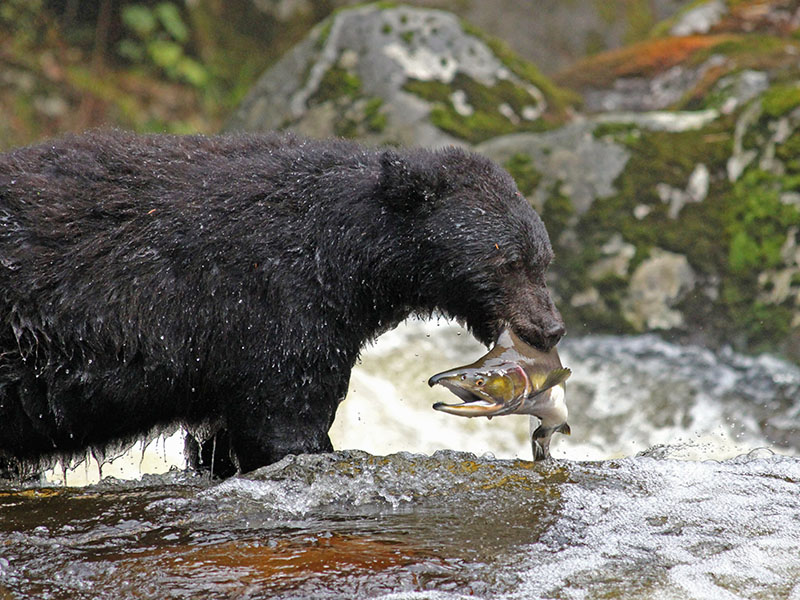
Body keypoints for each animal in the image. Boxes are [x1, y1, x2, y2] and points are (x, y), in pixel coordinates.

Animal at [0, 130, 564, 477]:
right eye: (508, 261)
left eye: (544, 259)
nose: (549, 328)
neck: (347, 258)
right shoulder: (272, 302)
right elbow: (286, 415)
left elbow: (221, 440)